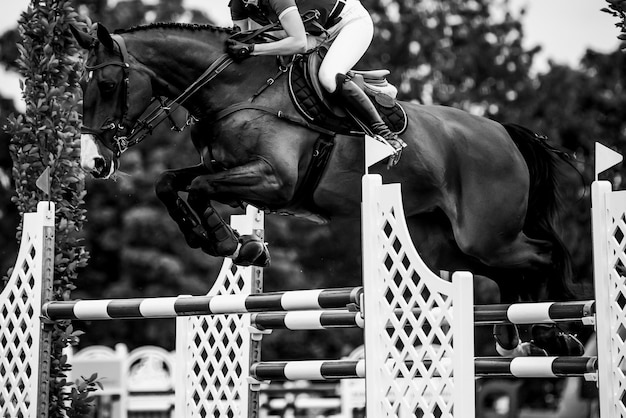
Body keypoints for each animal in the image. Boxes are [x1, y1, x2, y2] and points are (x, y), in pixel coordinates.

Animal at [70, 22, 584, 356]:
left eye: (109, 84)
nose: (93, 162)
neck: (237, 91)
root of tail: (503, 133)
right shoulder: (231, 177)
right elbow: (170, 183)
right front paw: (226, 240)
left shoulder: (274, 181)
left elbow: (196, 188)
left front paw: (237, 245)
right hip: (447, 243)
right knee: (506, 270)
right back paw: (522, 334)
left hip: (485, 234)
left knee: (542, 255)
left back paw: (552, 333)